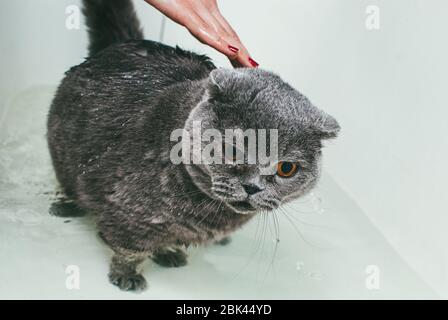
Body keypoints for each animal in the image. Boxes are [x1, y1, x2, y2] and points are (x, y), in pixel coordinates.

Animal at [47, 0, 340, 292]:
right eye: (233, 150)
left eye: (287, 168)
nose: (253, 187)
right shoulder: (128, 213)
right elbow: (131, 250)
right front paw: (127, 275)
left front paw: (168, 252)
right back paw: (66, 205)